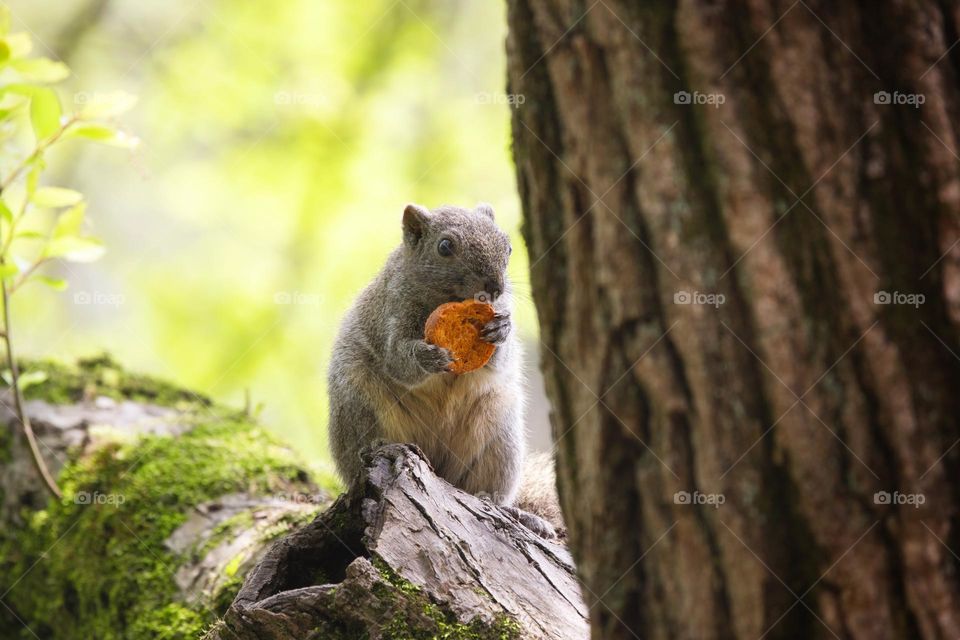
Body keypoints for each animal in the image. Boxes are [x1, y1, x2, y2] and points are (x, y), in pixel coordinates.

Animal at [328, 202, 564, 536]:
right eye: (444, 247)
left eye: (508, 246)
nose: (494, 287)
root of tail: (437, 465)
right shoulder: (390, 312)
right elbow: (397, 360)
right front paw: (428, 357)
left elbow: (499, 359)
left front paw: (501, 330)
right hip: (358, 405)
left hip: (499, 439)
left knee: (486, 489)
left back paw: (513, 511)